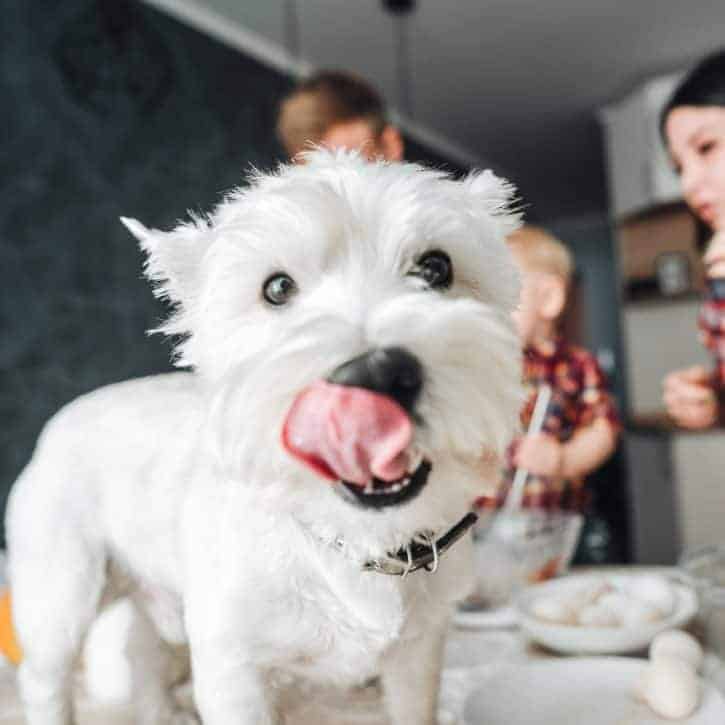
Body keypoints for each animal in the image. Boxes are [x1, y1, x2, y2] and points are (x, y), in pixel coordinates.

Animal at [8, 150, 524, 720]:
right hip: (61, 593)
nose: (375, 374)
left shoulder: (420, 654)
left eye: (436, 267)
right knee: (47, 677)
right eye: (276, 288)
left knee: (143, 655)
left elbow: (413, 706)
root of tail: (59, 420)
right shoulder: (234, 669)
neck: (353, 539)